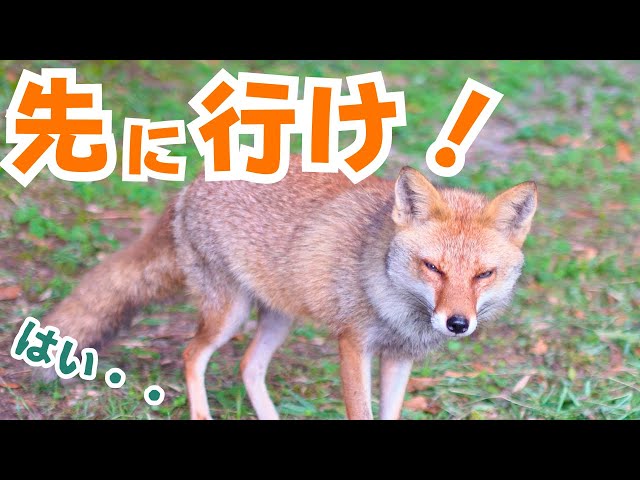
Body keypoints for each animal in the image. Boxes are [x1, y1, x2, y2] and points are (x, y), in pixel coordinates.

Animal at [37, 154, 537, 420]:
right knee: (192, 354)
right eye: (433, 267)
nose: (457, 323)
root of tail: (194, 182)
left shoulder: (399, 358)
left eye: (483, 275)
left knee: (249, 366)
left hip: (278, 319)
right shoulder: (353, 345)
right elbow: (361, 410)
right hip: (229, 315)